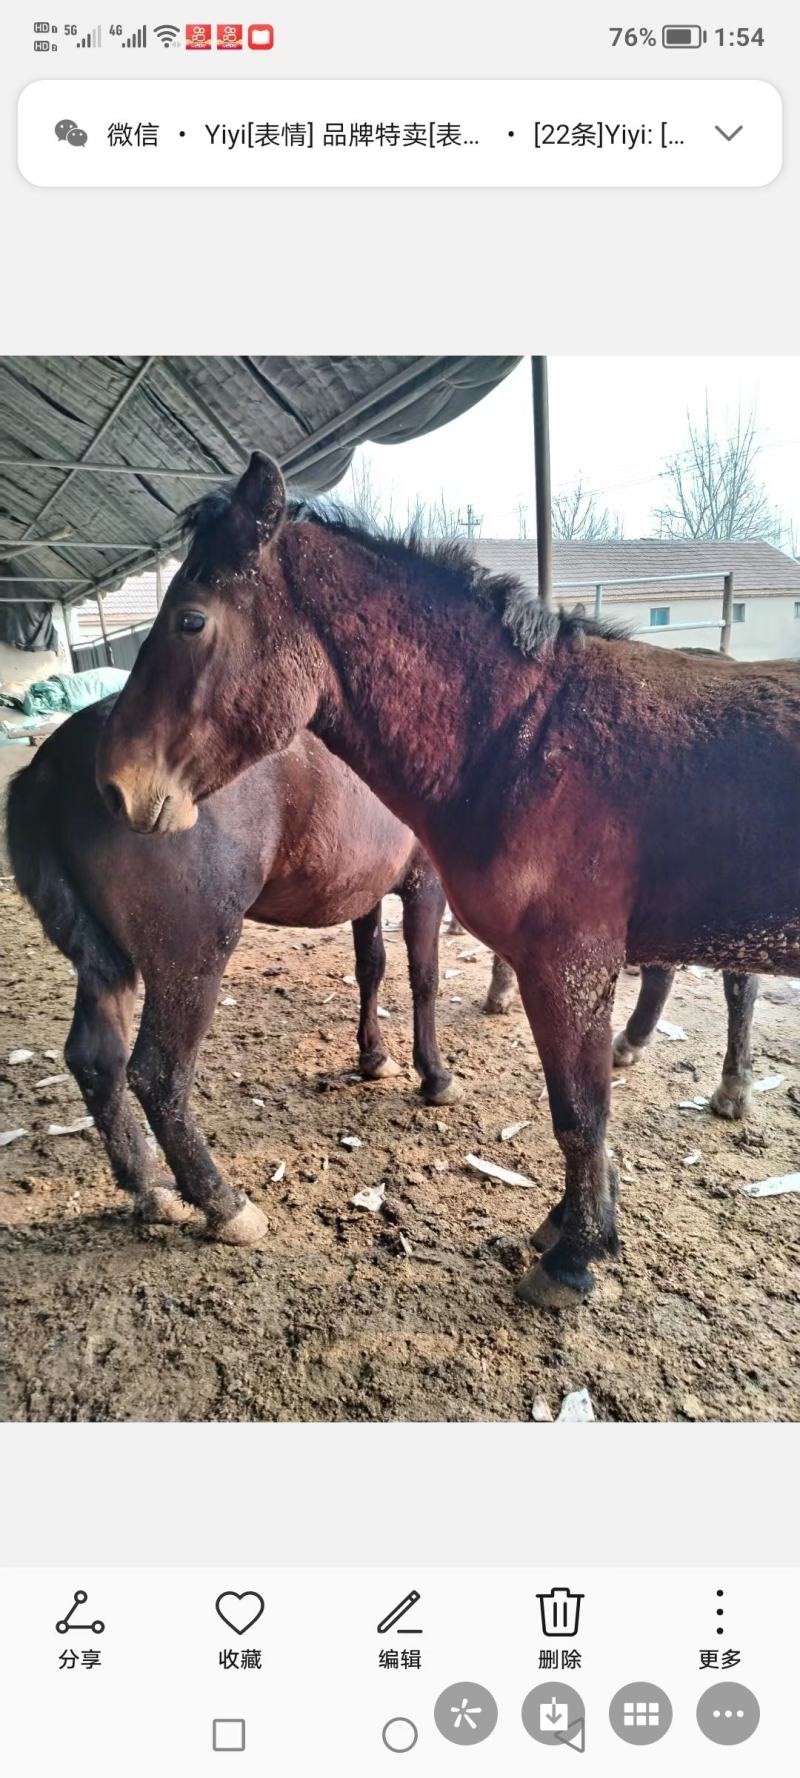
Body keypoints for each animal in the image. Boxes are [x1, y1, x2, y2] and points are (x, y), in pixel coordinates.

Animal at [7, 698, 458, 1246]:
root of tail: (48, 769)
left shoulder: (365, 889)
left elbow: (370, 967)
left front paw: (374, 1056)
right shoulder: (424, 882)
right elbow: (424, 979)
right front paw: (435, 1075)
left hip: (105, 961)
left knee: (96, 1060)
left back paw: (150, 1188)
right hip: (192, 957)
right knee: (157, 1074)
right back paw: (223, 1203)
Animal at [96, 454, 800, 1305]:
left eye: (192, 620)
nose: (115, 787)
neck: (529, 742)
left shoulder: (569, 964)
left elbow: (580, 1113)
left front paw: (573, 1256)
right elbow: (577, 1103)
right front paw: (576, 1227)